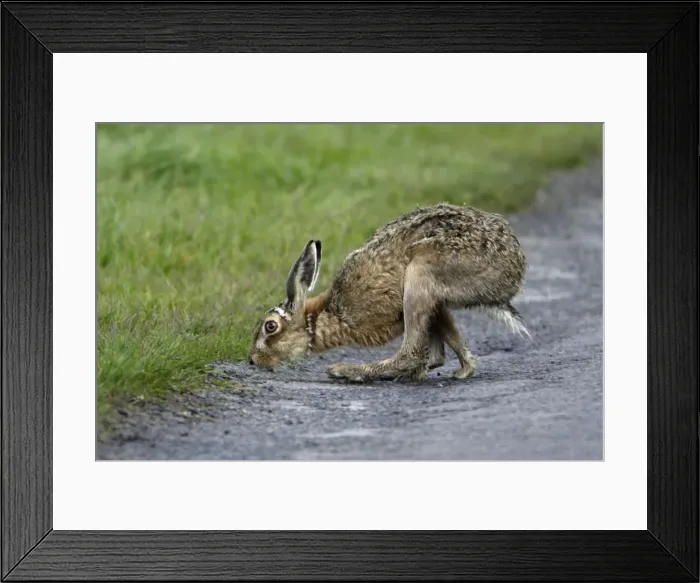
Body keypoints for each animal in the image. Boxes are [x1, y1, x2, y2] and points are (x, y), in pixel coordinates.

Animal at [247, 202, 530, 382]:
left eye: (270, 327)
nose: (252, 360)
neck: (327, 314)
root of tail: (514, 266)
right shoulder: (436, 309)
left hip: (420, 275)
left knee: (411, 354)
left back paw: (346, 371)